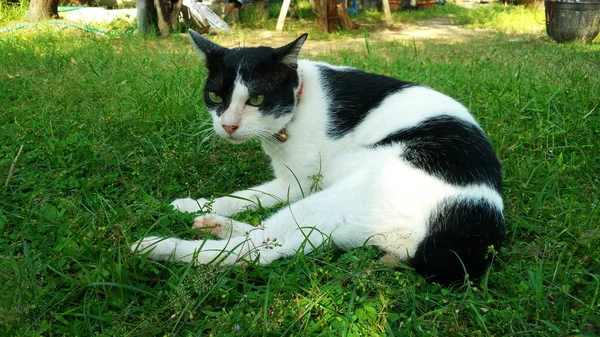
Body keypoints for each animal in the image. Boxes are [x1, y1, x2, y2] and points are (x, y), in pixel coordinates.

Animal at [129, 30, 504, 284]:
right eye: (214, 97)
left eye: (257, 99)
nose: (228, 125)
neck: (299, 101)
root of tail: (472, 230)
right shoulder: (288, 181)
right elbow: (245, 197)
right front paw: (194, 206)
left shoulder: (302, 185)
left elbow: (249, 198)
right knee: (268, 237)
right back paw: (216, 225)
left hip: (349, 194)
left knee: (255, 251)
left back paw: (155, 247)